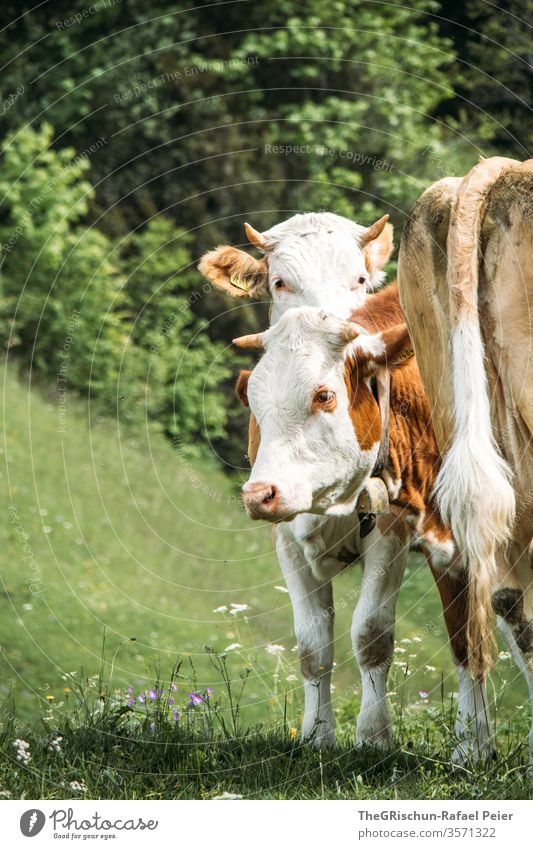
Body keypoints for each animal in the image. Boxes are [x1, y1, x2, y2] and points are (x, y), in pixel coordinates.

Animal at [231, 284, 492, 760]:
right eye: (254, 402)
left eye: (324, 395)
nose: (260, 494)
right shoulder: (288, 540)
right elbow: (311, 645)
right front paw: (316, 736)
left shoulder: (396, 529)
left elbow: (373, 635)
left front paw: (374, 737)